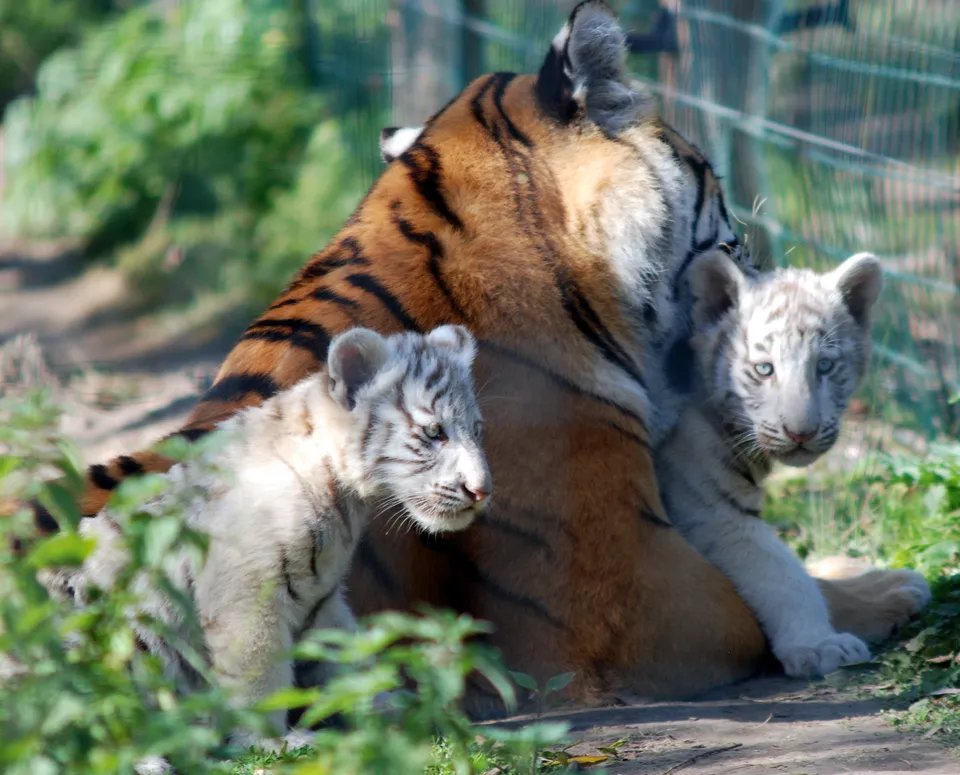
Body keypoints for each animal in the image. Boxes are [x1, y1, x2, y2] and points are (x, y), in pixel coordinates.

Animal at [65, 324, 490, 752]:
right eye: (434, 432)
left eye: (476, 429)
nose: (481, 491)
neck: (344, 499)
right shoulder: (246, 595)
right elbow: (259, 673)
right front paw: (271, 742)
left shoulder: (322, 598)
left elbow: (341, 654)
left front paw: (390, 703)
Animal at [655, 250, 931, 678]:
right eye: (764, 368)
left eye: (824, 366)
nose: (801, 432)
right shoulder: (708, 501)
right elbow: (778, 569)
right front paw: (818, 646)